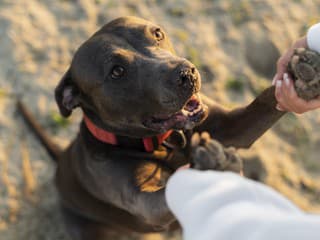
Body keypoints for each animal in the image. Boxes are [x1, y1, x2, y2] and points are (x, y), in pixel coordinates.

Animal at [18, 15, 284, 239]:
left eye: (157, 33)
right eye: (117, 71)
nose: (187, 73)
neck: (164, 142)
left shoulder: (233, 126)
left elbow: (265, 102)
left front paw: (294, 71)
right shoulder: (147, 206)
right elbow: (167, 194)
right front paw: (210, 165)